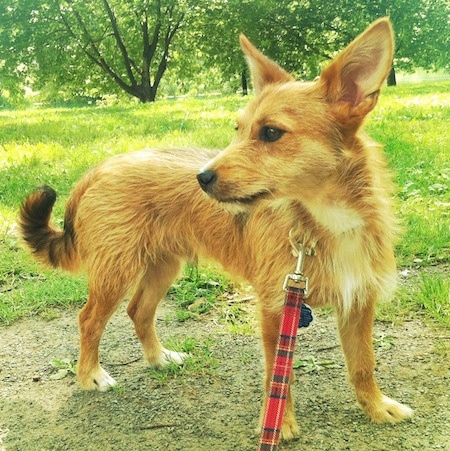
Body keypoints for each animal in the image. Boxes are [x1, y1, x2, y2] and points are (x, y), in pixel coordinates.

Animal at [22, 17, 414, 442]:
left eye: (271, 133)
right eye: (237, 129)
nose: (201, 178)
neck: (326, 223)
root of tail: (98, 169)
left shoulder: (358, 303)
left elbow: (363, 364)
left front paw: (376, 407)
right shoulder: (276, 310)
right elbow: (279, 376)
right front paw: (280, 423)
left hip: (163, 265)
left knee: (138, 310)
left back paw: (159, 358)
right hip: (117, 270)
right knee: (89, 319)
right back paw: (90, 375)